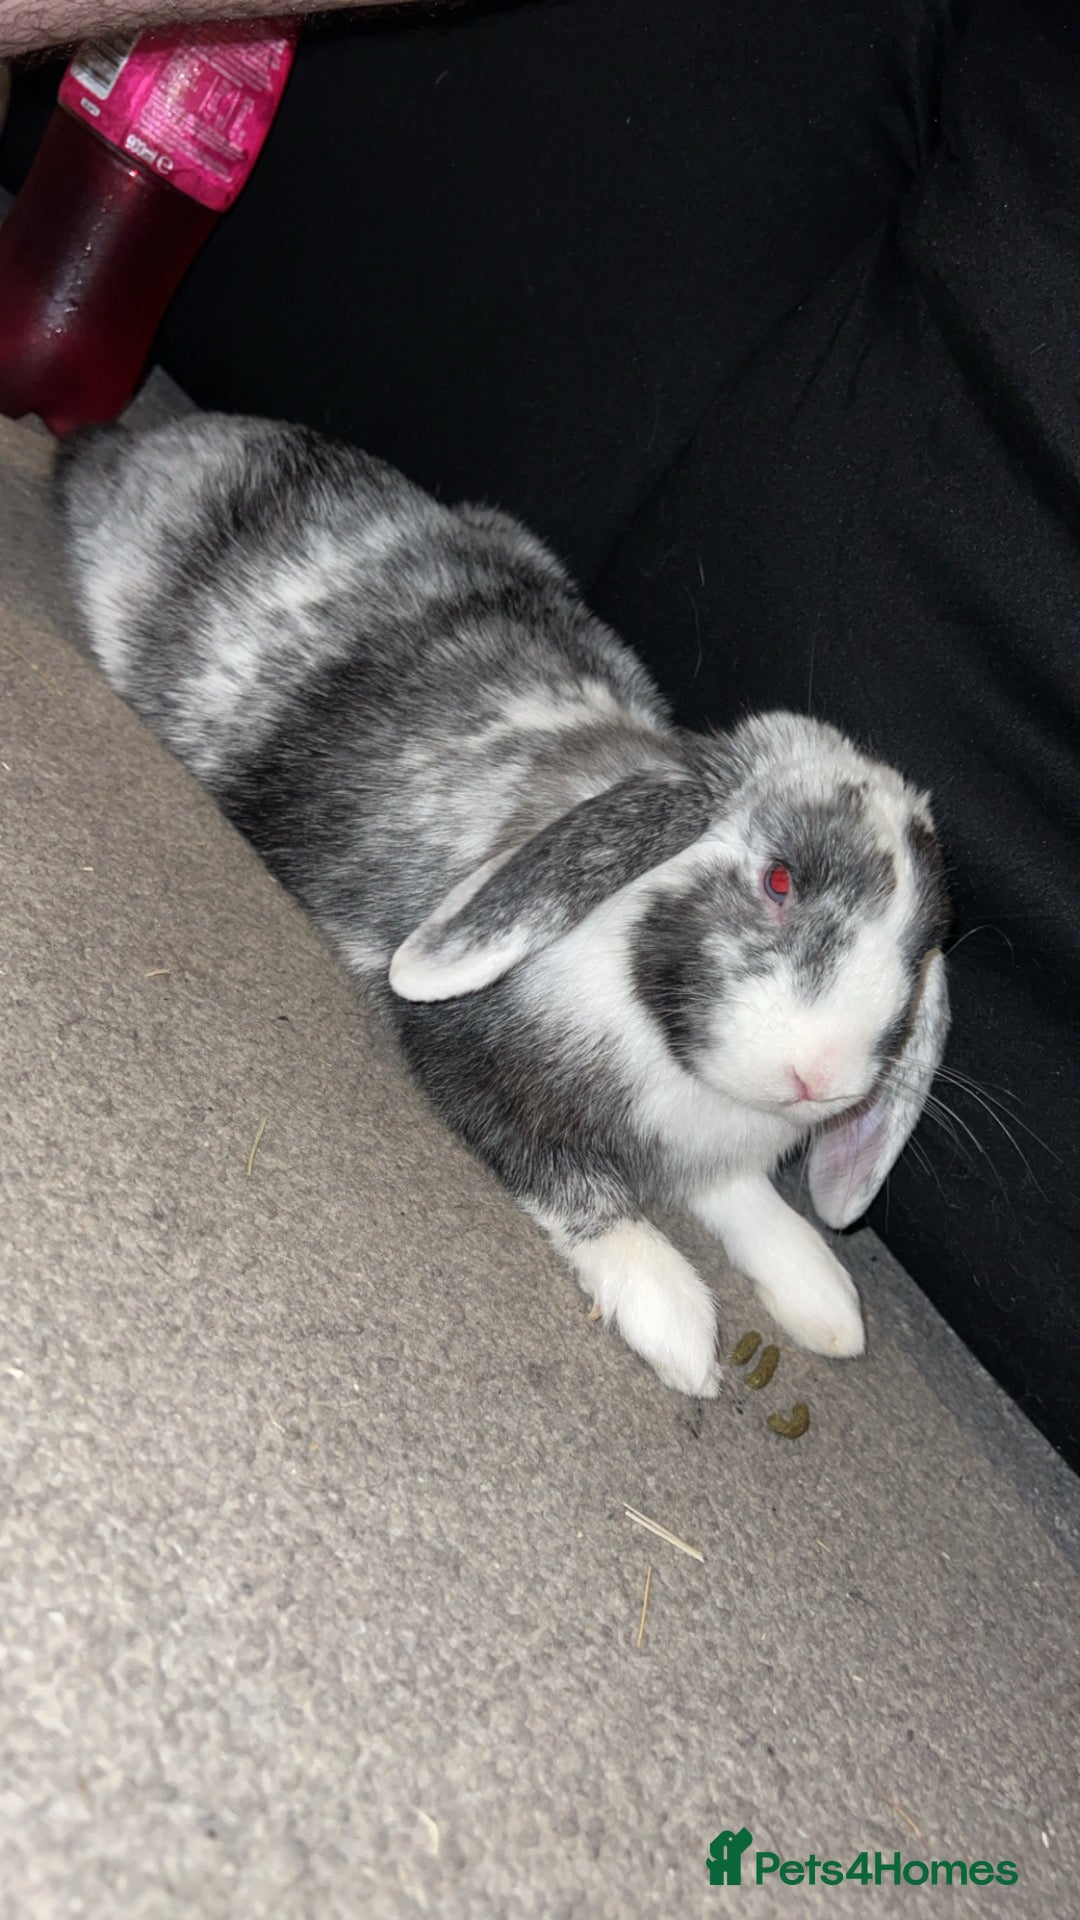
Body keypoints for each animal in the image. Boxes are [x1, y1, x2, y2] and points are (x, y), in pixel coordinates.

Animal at [53, 413, 952, 1398]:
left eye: (918, 957)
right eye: (779, 880)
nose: (820, 1077)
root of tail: (144, 438)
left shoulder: (719, 1161)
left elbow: (746, 1202)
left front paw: (824, 1297)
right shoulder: (470, 1067)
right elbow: (573, 1185)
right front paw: (675, 1322)